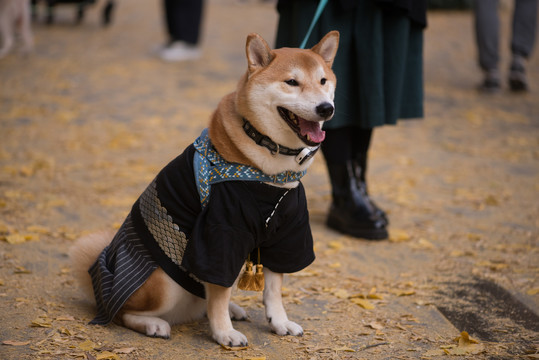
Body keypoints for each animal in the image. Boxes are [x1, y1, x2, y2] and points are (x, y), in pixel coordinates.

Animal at [69, 31, 340, 348]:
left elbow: (273, 289)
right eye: (292, 82)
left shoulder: (286, 233)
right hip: (163, 283)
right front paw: (223, 333)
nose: (326, 108)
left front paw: (280, 322)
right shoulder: (221, 234)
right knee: (124, 313)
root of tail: (100, 284)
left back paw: (230, 309)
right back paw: (155, 324)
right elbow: (219, 292)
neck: (270, 169)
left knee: (203, 302)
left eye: (323, 81)